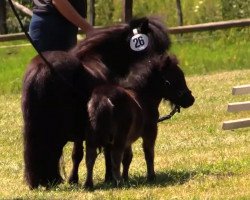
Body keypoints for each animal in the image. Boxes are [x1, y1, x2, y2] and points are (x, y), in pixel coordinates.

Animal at [22, 16, 170, 189]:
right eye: (156, 48)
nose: (161, 63)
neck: (100, 59)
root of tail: (43, 68)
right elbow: (101, 151)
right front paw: (108, 177)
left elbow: (78, 154)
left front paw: (74, 179)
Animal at [83, 54, 194, 188]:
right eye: (176, 77)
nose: (190, 99)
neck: (142, 97)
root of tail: (103, 99)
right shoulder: (150, 132)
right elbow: (148, 153)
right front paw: (151, 177)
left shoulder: (128, 140)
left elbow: (128, 158)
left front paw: (126, 177)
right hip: (118, 137)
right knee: (115, 156)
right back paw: (119, 182)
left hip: (92, 137)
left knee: (90, 157)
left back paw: (89, 184)